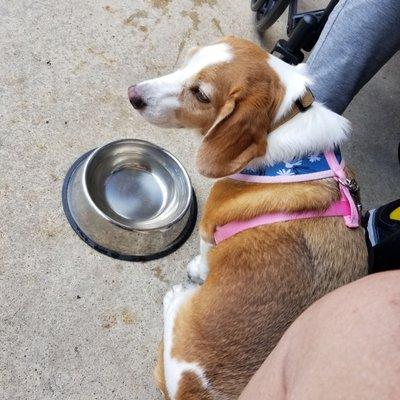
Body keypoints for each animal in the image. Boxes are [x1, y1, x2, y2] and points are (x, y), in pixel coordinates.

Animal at [129, 37, 368, 400]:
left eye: (201, 95)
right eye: (187, 62)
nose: (133, 95)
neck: (283, 121)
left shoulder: (208, 228)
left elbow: (204, 257)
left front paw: (198, 269)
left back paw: (173, 299)